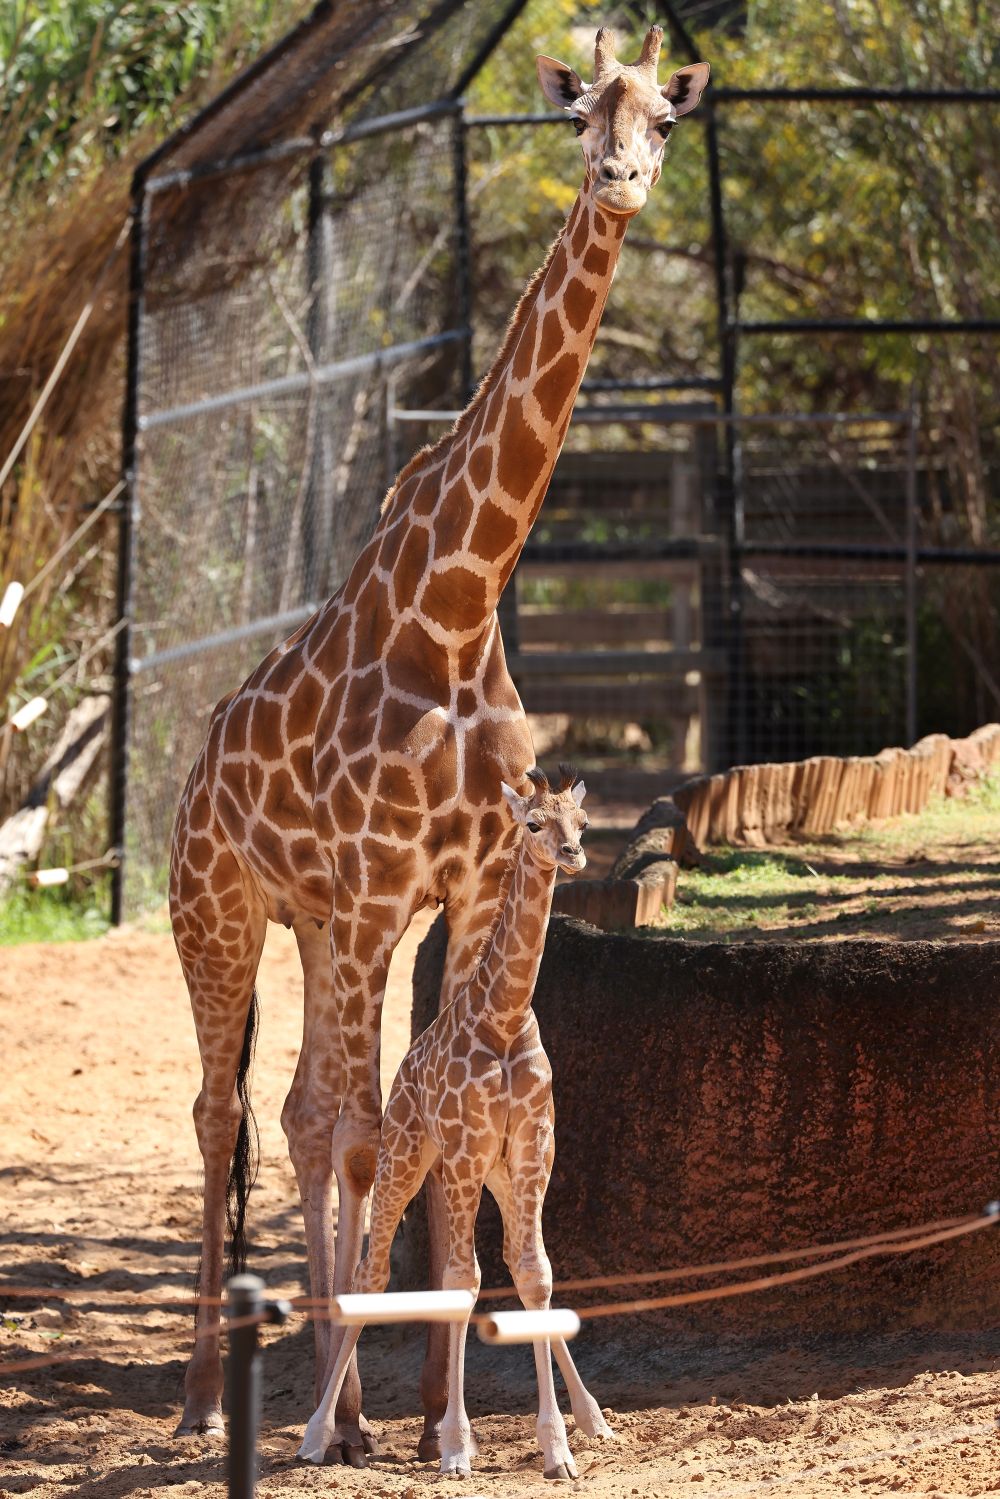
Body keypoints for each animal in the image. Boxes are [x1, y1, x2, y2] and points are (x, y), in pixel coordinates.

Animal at [296, 767, 611, 1481]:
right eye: (533, 823)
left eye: (582, 824)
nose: (572, 855)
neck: (504, 1014)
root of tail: (403, 1075)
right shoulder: (467, 1149)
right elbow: (462, 1281)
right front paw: (458, 1446)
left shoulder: (532, 1147)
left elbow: (534, 1273)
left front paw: (559, 1444)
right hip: (409, 1159)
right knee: (372, 1274)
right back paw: (318, 1433)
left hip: (490, 1173)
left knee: (511, 1263)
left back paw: (595, 1418)